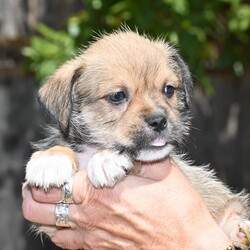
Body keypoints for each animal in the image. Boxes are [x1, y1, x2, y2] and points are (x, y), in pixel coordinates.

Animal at [25, 28, 250, 248]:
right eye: (117, 96)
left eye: (168, 89)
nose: (159, 121)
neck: (91, 147)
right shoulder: (48, 226)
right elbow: (59, 146)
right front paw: (50, 160)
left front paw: (107, 158)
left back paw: (242, 229)